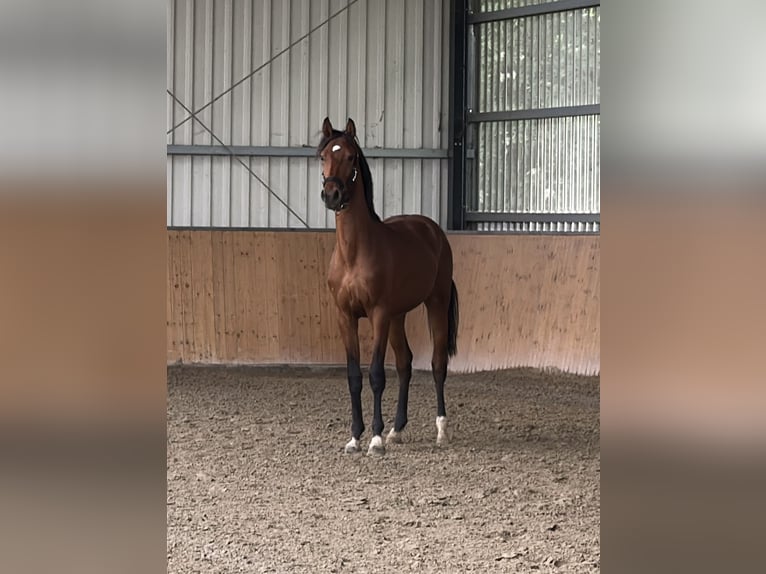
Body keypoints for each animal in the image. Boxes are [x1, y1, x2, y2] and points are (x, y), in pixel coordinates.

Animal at [317, 117, 459, 455]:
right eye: (323, 156)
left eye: (351, 157)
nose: (332, 195)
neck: (354, 253)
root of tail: (432, 230)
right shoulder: (346, 316)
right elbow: (354, 376)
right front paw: (356, 437)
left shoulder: (378, 314)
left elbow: (377, 374)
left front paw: (376, 439)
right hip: (398, 316)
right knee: (406, 363)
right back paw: (397, 429)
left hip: (434, 303)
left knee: (437, 364)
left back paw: (440, 430)